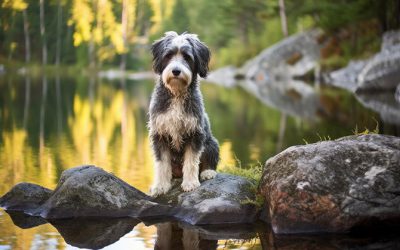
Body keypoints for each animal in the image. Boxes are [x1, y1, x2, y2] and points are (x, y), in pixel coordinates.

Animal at [149, 30, 220, 195]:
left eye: (187, 57)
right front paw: (160, 186)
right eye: (168, 55)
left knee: (209, 160)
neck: (177, 94)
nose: (176, 71)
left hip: (212, 143)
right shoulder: (160, 134)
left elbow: (191, 161)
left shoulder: (195, 133)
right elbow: (162, 163)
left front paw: (190, 183)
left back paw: (208, 172)